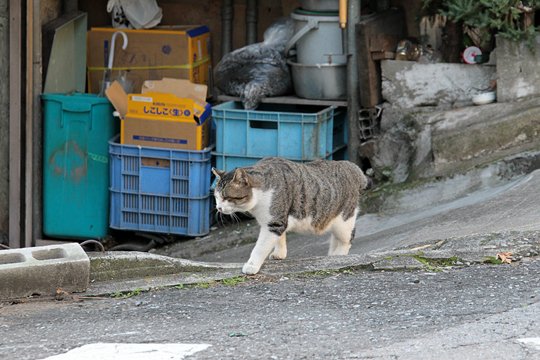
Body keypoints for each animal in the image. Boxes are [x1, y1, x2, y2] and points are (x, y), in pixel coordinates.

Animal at [212, 156, 372, 274]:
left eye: (227, 198)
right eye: (216, 197)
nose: (218, 208)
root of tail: (352, 167)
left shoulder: (274, 222)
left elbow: (260, 247)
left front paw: (251, 266)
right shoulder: (278, 219)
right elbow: (280, 238)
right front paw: (279, 254)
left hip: (343, 221)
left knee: (348, 237)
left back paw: (339, 255)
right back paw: (333, 255)